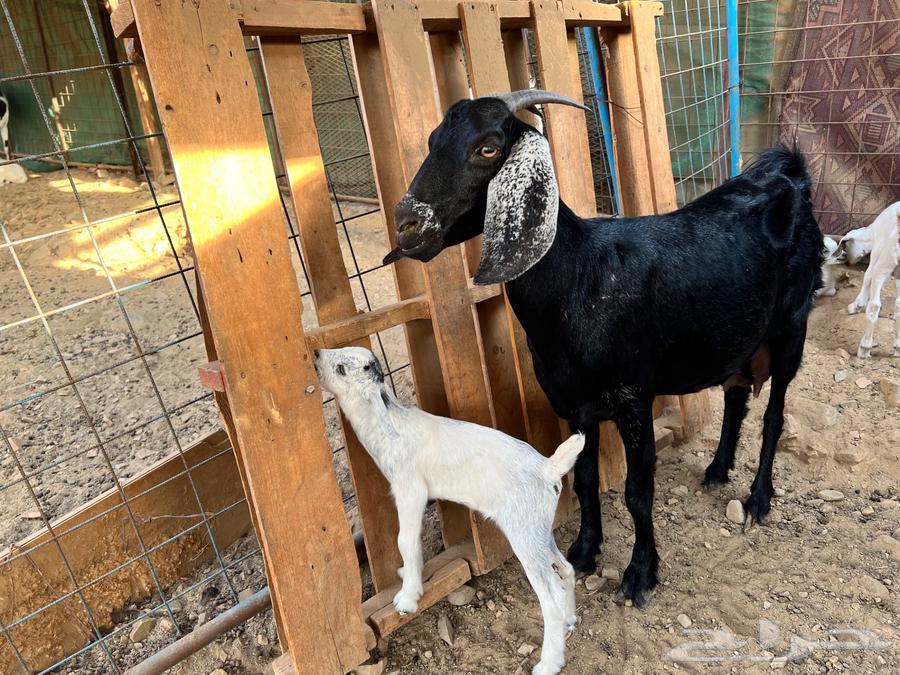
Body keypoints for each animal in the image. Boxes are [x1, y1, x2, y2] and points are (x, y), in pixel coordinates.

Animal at [314, 346, 585, 675]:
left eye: (341, 368)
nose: (315, 353)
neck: (392, 425)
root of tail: (548, 468)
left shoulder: (410, 490)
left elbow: (405, 541)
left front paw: (408, 597)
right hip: (537, 530)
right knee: (566, 568)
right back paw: (570, 622)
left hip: (523, 534)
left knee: (551, 595)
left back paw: (550, 661)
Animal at [385, 90, 824, 608]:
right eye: (433, 140)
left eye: (488, 149)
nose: (406, 222)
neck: (582, 278)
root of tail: (791, 176)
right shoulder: (573, 405)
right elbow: (586, 479)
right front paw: (583, 551)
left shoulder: (633, 398)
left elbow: (637, 491)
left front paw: (640, 573)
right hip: (739, 339)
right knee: (736, 398)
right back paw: (717, 470)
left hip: (792, 326)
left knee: (774, 414)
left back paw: (758, 498)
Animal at [842, 202, 900, 358]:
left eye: (846, 246)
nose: (849, 263)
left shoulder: (878, 250)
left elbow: (867, 276)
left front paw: (856, 305)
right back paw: (898, 348)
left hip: (885, 261)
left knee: (874, 305)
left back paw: (865, 347)